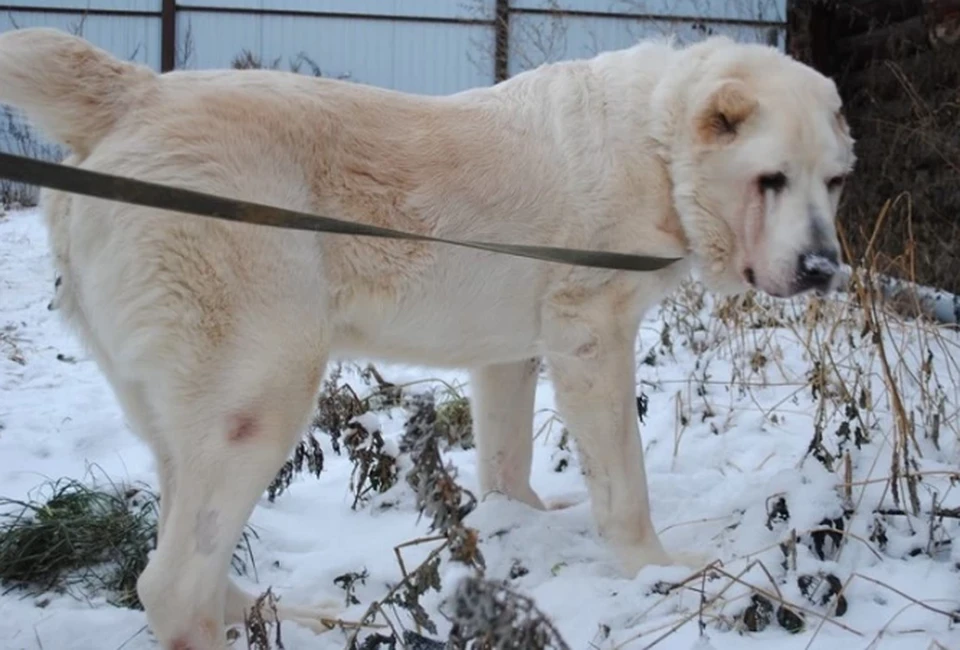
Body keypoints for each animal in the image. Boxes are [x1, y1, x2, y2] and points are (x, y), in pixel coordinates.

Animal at [0, 26, 856, 648]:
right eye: (770, 180)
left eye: (835, 181)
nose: (823, 269)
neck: (655, 145)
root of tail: (136, 95)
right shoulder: (592, 335)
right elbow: (625, 484)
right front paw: (654, 569)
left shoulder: (511, 355)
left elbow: (507, 463)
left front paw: (520, 527)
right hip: (259, 395)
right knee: (171, 586)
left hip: (186, 410)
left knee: (184, 555)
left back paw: (264, 614)